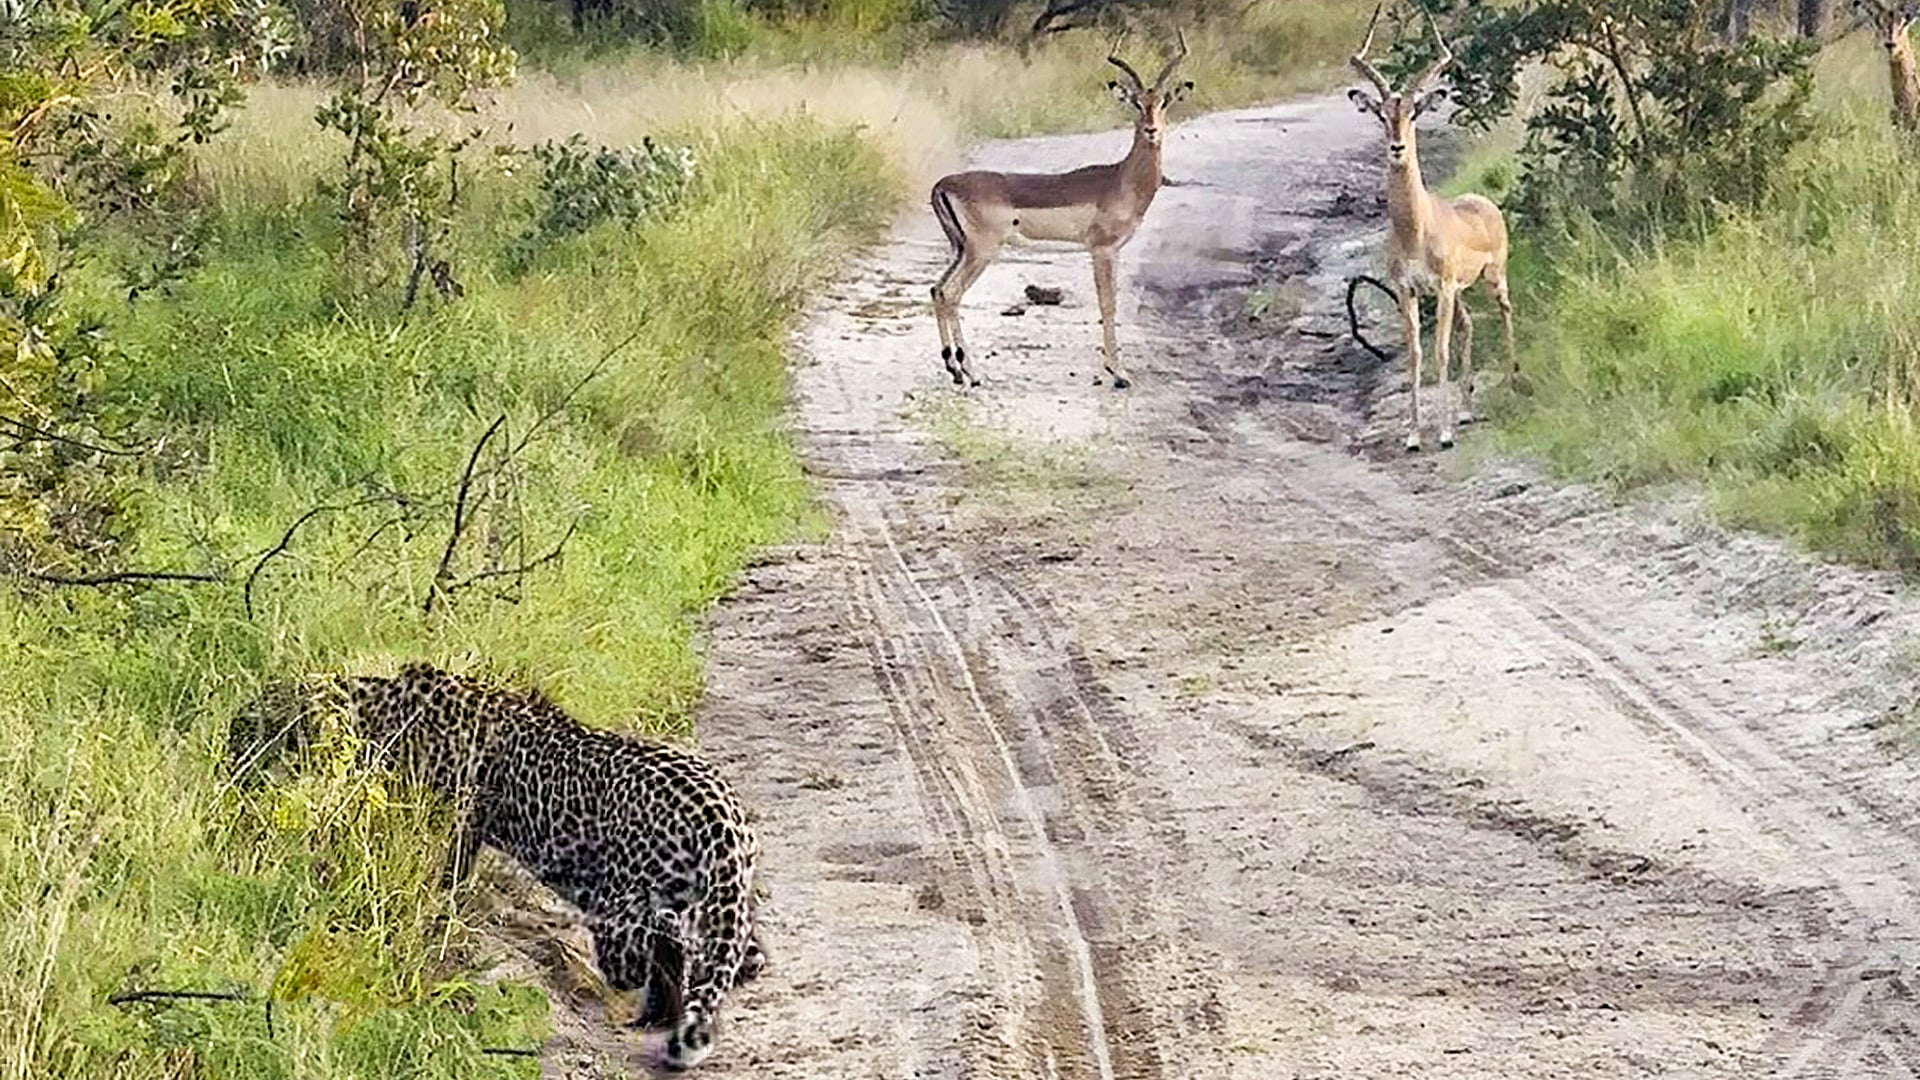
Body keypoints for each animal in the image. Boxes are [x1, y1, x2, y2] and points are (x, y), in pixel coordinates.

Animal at [226, 661, 764, 1070]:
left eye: (258, 716)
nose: (232, 746)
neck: (382, 709)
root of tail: (722, 814)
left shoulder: (464, 816)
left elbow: (448, 871)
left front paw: (437, 908)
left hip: (624, 913)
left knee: (653, 958)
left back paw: (652, 1014)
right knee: (700, 952)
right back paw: (666, 1013)